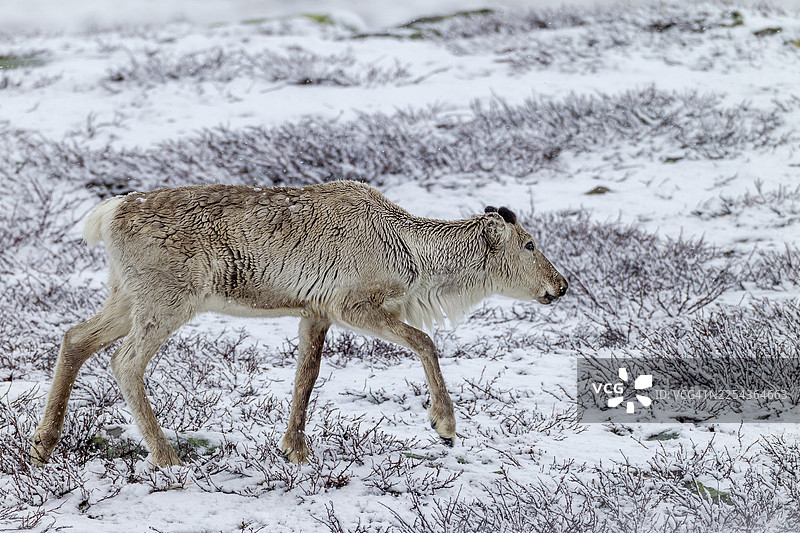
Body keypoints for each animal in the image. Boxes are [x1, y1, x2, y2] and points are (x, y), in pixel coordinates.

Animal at [30, 180, 567, 467]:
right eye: (529, 244)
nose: (561, 285)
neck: (413, 258)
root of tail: (108, 213)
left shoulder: (315, 312)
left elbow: (306, 376)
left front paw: (295, 449)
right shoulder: (354, 305)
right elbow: (424, 340)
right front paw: (445, 425)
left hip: (127, 296)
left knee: (75, 338)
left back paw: (43, 444)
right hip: (167, 300)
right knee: (124, 362)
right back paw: (168, 458)